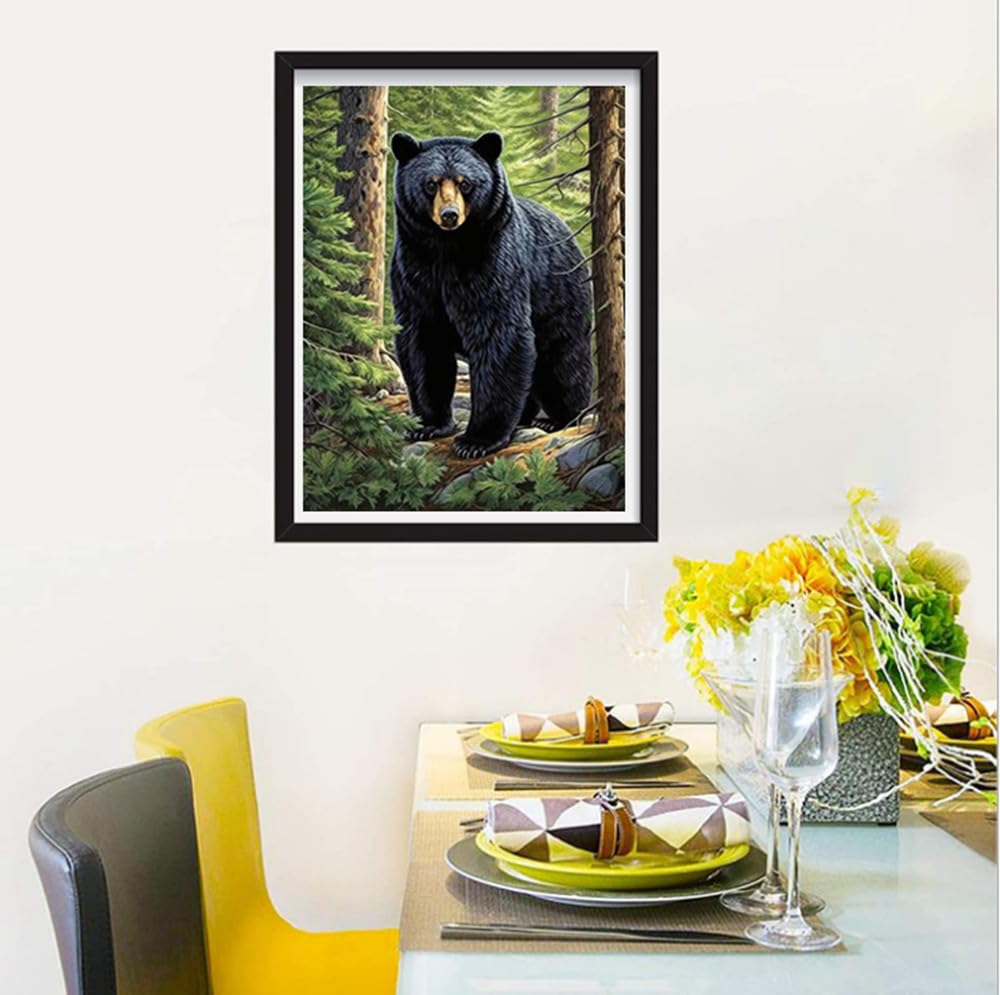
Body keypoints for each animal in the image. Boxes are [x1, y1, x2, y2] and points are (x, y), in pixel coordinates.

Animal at [389, 130, 594, 459]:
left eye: (465, 183)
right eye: (431, 183)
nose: (449, 215)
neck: (446, 248)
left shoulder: (494, 261)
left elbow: (499, 335)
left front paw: (476, 440)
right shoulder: (415, 271)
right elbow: (423, 344)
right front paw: (428, 424)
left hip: (559, 293)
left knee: (562, 355)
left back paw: (558, 418)